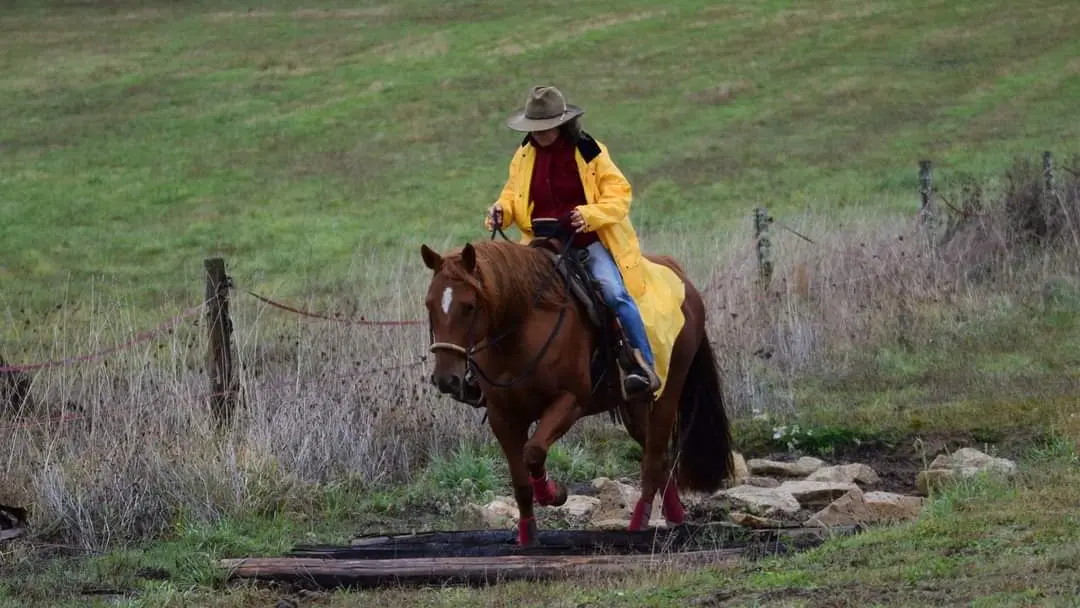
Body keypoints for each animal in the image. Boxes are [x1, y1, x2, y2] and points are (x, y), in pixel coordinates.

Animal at [419, 237, 734, 546]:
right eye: (429, 304)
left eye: (469, 306)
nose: (446, 379)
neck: (523, 329)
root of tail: (680, 277)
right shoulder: (502, 416)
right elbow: (520, 481)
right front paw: (527, 536)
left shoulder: (569, 402)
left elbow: (533, 452)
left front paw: (554, 494)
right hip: (635, 406)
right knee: (658, 456)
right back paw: (674, 516)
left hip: (669, 392)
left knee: (654, 457)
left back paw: (639, 523)